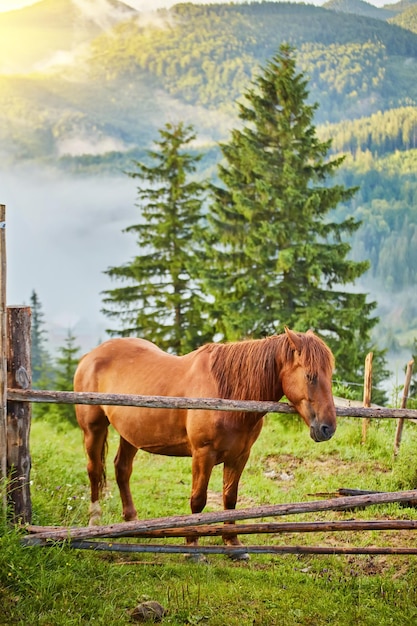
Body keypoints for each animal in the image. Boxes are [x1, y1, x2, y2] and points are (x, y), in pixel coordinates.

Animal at [74, 326, 334, 556]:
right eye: (310, 376)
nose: (328, 428)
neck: (227, 396)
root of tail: (91, 356)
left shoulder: (239, 456)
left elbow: (230, 500)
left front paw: (233, 545)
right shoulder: (203, 454)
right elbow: (198, 500)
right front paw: (193, 547)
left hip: (130, 434)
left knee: (122, 469)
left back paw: (132, 523)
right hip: (93, 429)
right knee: (94, 470)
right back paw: (94, 523)